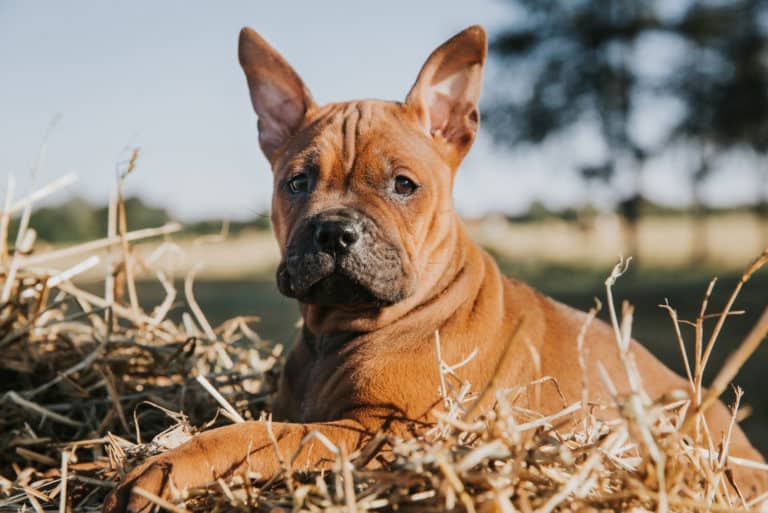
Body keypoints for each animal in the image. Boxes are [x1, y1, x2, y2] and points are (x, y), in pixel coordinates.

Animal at [103, 25, 768, 512]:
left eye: (404, 185)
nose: (333, 231)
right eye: (296, 183)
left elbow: (245, 437)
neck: (343, 327)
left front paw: (162, 467)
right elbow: (252, 423)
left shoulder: (383, 433)